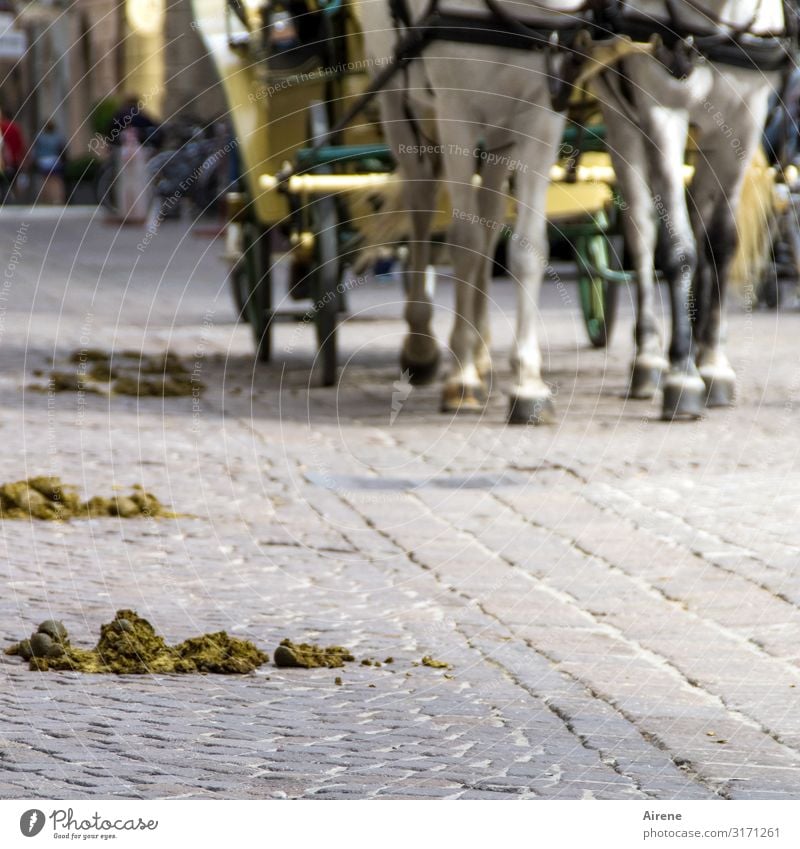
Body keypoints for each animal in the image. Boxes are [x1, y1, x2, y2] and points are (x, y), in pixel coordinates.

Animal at [356, 0, 588, 422]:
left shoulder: (542, 117)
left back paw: (480, 351)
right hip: (399, 105)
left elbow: (528, 249)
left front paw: (528, 384)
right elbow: (463, 244)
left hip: (499, 133)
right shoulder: (455, 111)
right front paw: (460, 379)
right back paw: (422, 347)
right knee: (422, 203)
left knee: (490, 218)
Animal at [592, 0, 792, 418]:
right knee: (641, 232)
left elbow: (720, 244)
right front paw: (682, 373)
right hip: (621, 120)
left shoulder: (744, 117)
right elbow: (678, 249)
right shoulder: (660, 110)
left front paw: (713, 361)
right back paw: (649, 358)